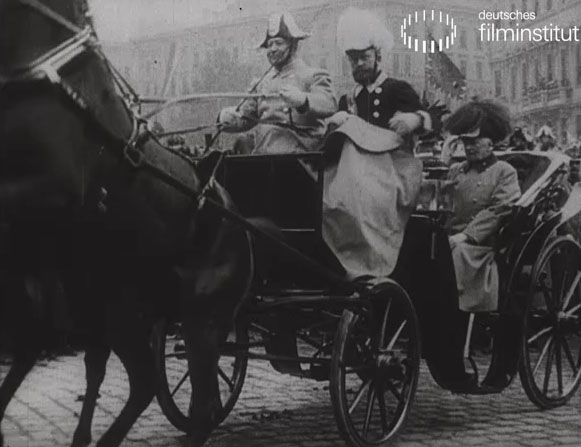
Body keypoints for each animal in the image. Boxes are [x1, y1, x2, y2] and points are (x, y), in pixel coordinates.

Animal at [0, 1, 253, 446]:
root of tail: (240, 223)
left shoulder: (51, 191)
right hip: (121, 309)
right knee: (139, 380)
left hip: (201, 322)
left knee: (197, 403)